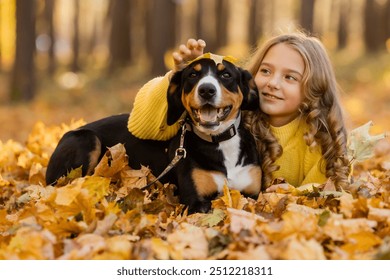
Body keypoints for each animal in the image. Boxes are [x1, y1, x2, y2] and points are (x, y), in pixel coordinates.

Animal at [46, 53, 262, 213]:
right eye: (193, 75)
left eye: (226, 75)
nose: (206, 90)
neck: (219, 141)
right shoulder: (195, 201)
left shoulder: (252, 193)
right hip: (87, 140)